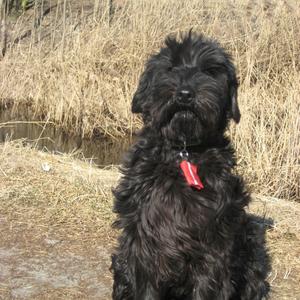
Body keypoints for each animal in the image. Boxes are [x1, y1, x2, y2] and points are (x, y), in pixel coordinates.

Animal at [110, 31, 270, 298]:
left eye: (210, 71)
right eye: (170, 67)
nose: (185, 94)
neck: (184, 152)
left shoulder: (214, 242)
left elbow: (207, 284)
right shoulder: (144, 237)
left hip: (251, 249)